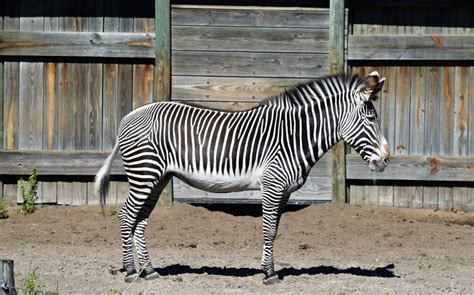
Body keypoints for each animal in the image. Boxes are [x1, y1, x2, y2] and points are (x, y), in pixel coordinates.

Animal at [95, 71, 388, 284]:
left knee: (140, 221)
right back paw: (130, 270)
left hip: (158, 178)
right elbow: (268, 229)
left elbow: (275, 230)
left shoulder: (284, 191)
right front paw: (269, 274)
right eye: (370, 119)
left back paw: (149, 270)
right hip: (144, 173)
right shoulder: (272, 185)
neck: (295, 137)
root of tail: (129, 116)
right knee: (126, 216)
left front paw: (267, 268)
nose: (386, 160)